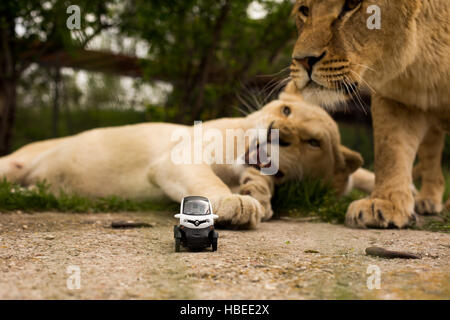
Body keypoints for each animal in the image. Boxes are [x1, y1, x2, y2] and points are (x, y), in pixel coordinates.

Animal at [0, 94, 372, 228]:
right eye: (286, 110)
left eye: (313, 142)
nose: (276, 133)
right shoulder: (178, 157)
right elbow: (207, 181)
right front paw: (236, 203)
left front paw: (259, 197)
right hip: (12, 164)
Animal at [288, 0, 450, 230]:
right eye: (304, 10)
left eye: (352, 5)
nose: (302, 60)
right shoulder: (396, 96)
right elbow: (390, 150)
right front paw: (385, 203)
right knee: (431, 157)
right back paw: (427, 200)